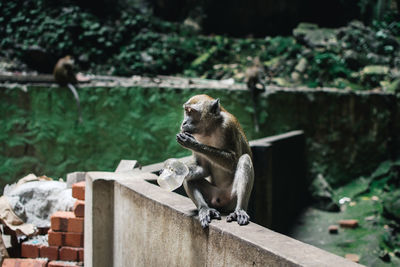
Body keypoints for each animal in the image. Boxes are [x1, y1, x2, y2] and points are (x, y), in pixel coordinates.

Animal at [177, 94, 255, 228]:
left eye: (191, 111)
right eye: (186, 111)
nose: (184, 122)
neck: (210, 129)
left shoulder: (228, 126)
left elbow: (233, 161)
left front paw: (193, 144)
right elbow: (203, 168)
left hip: (232, 198)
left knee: (244, 159)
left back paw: (239, 210)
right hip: (213, 196)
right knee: (187, 176)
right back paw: (204, 209)